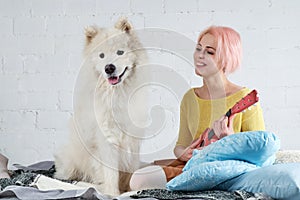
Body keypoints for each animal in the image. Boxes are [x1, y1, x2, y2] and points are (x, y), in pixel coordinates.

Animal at [54, 18, 148, 196]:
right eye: (101, 55)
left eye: (120, 52)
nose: (109, 67)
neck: (117, 94)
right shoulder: (106, 139)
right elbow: (111, 172)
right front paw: (113, 193)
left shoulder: (133, 136)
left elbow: (131, 168)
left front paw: (129, 189)